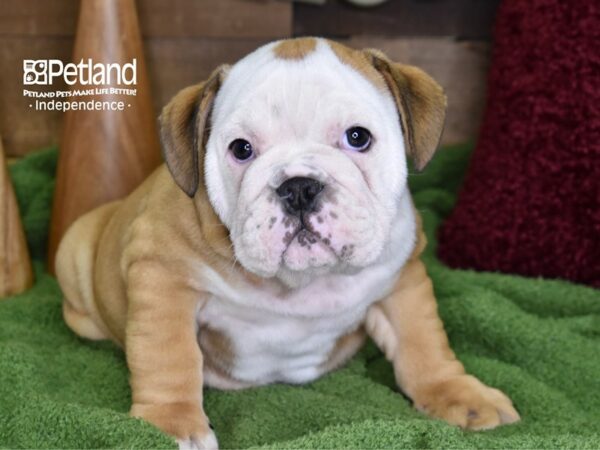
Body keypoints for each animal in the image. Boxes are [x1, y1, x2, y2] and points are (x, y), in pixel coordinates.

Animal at [55, 37, 520, 446]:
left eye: (358, 138)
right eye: (241, 149)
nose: (298, 186)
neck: (300, 282)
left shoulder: (401, 278)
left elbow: (422, 344)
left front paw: (460, 395)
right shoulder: (162, 276)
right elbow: (169, 356)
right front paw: (172, 426)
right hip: (74, 247)